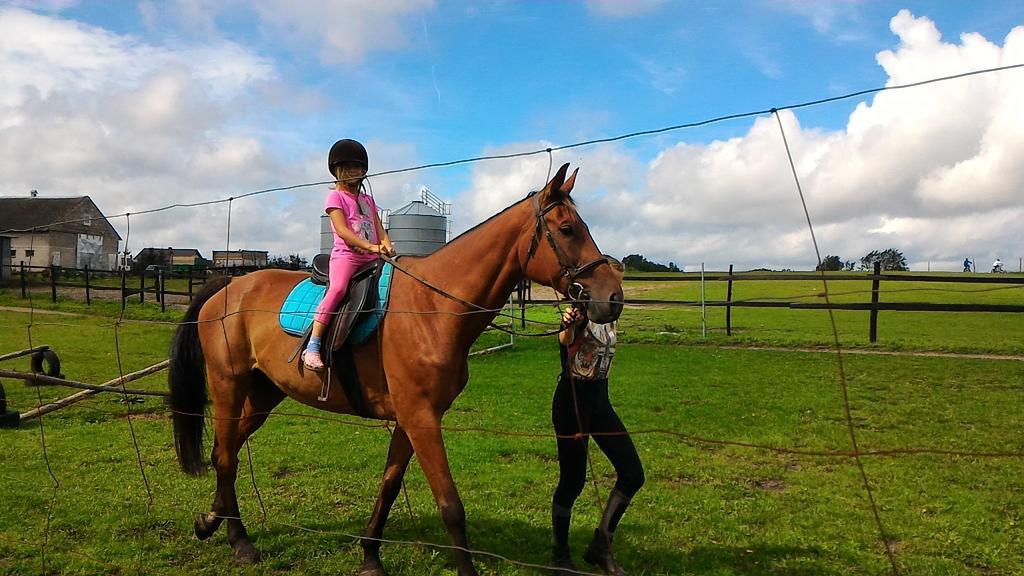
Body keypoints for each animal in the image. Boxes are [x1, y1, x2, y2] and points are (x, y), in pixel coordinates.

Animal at [167, 162, 622, 573]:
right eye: (568, 229)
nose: (613, 298)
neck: (433, 307)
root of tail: (229, 284)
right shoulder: (422, 418)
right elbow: (450, 505)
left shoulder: (411, 417)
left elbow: (389, 485)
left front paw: (371, 557)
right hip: (228, 385)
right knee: (226, 457)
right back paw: (240, 542)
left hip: (265, 392)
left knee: (223, 452)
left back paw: (210, 522)